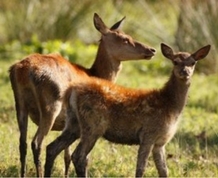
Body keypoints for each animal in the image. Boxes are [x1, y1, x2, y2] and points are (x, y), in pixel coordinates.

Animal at [8, 12, 155, 178]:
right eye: (125, 38)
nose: (151, 50)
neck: (94, 73)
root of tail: (21, 69)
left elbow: (66, 155)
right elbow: (83, 157)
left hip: (20, 105)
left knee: (23, 143)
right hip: (50, 107)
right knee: (37, 143)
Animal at [56, 42, 209, 177]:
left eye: (193, 63)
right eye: (175, 61)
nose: (185, 72)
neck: (169, 106)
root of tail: (72, 90)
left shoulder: (160, 142)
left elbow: (164, 171)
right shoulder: (148, 133)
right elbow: (141, 169)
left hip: (74, 122)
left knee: (55, 148)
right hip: (93, 124)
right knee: (78, 156)